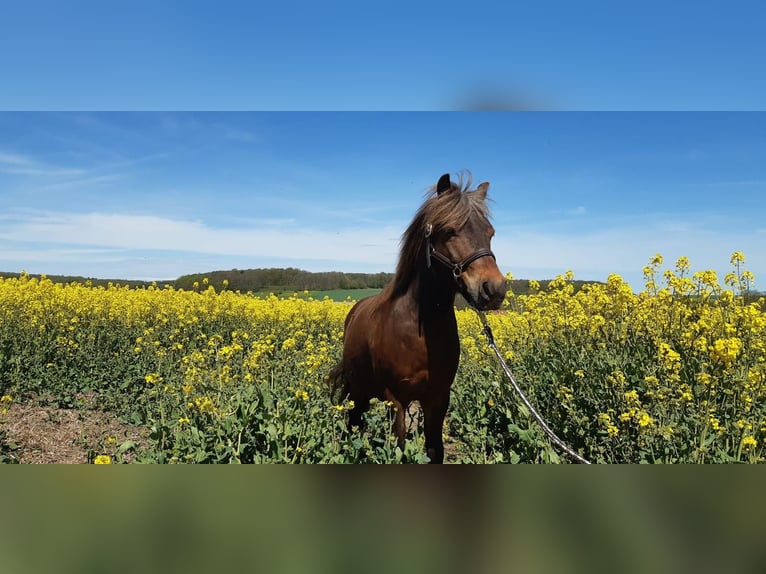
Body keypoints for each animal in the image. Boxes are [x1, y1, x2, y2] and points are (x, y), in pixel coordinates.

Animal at [330, 173, 510, 466]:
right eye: (449, 230)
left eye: (490, 233)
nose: (493, 290)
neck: (420, 333)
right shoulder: (397, 400)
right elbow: (401, 450)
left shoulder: (438, 398)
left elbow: (435, 450)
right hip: (359, 392)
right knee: (354, 422)